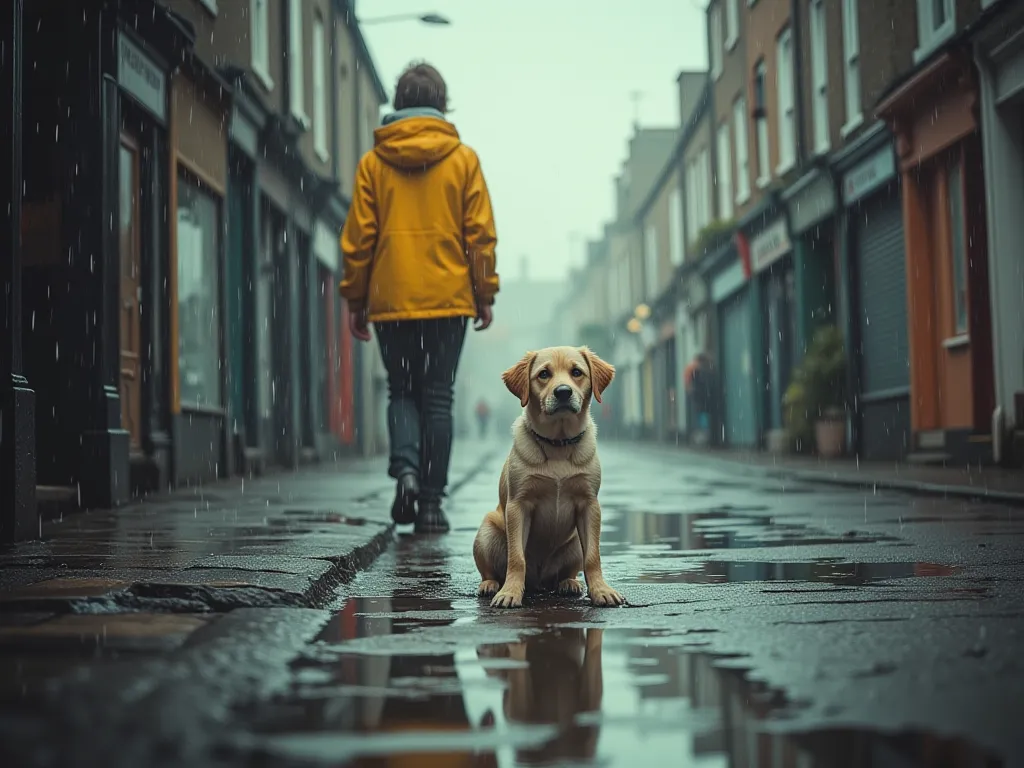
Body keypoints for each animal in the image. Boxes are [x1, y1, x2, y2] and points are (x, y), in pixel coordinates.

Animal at [471, 346, 622, 610]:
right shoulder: (518, 506)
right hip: (486, 532)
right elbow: (516, 558)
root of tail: (539, 583)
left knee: (566, 572)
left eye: (576, 372)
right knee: (492, 571)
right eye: (543, 374)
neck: (558, 444)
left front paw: (601, 591)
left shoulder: (589, 505)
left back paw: (568, 583)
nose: (563, 392)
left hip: (574, 543)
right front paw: (510, 592)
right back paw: (490, 585)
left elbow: (593, 557)